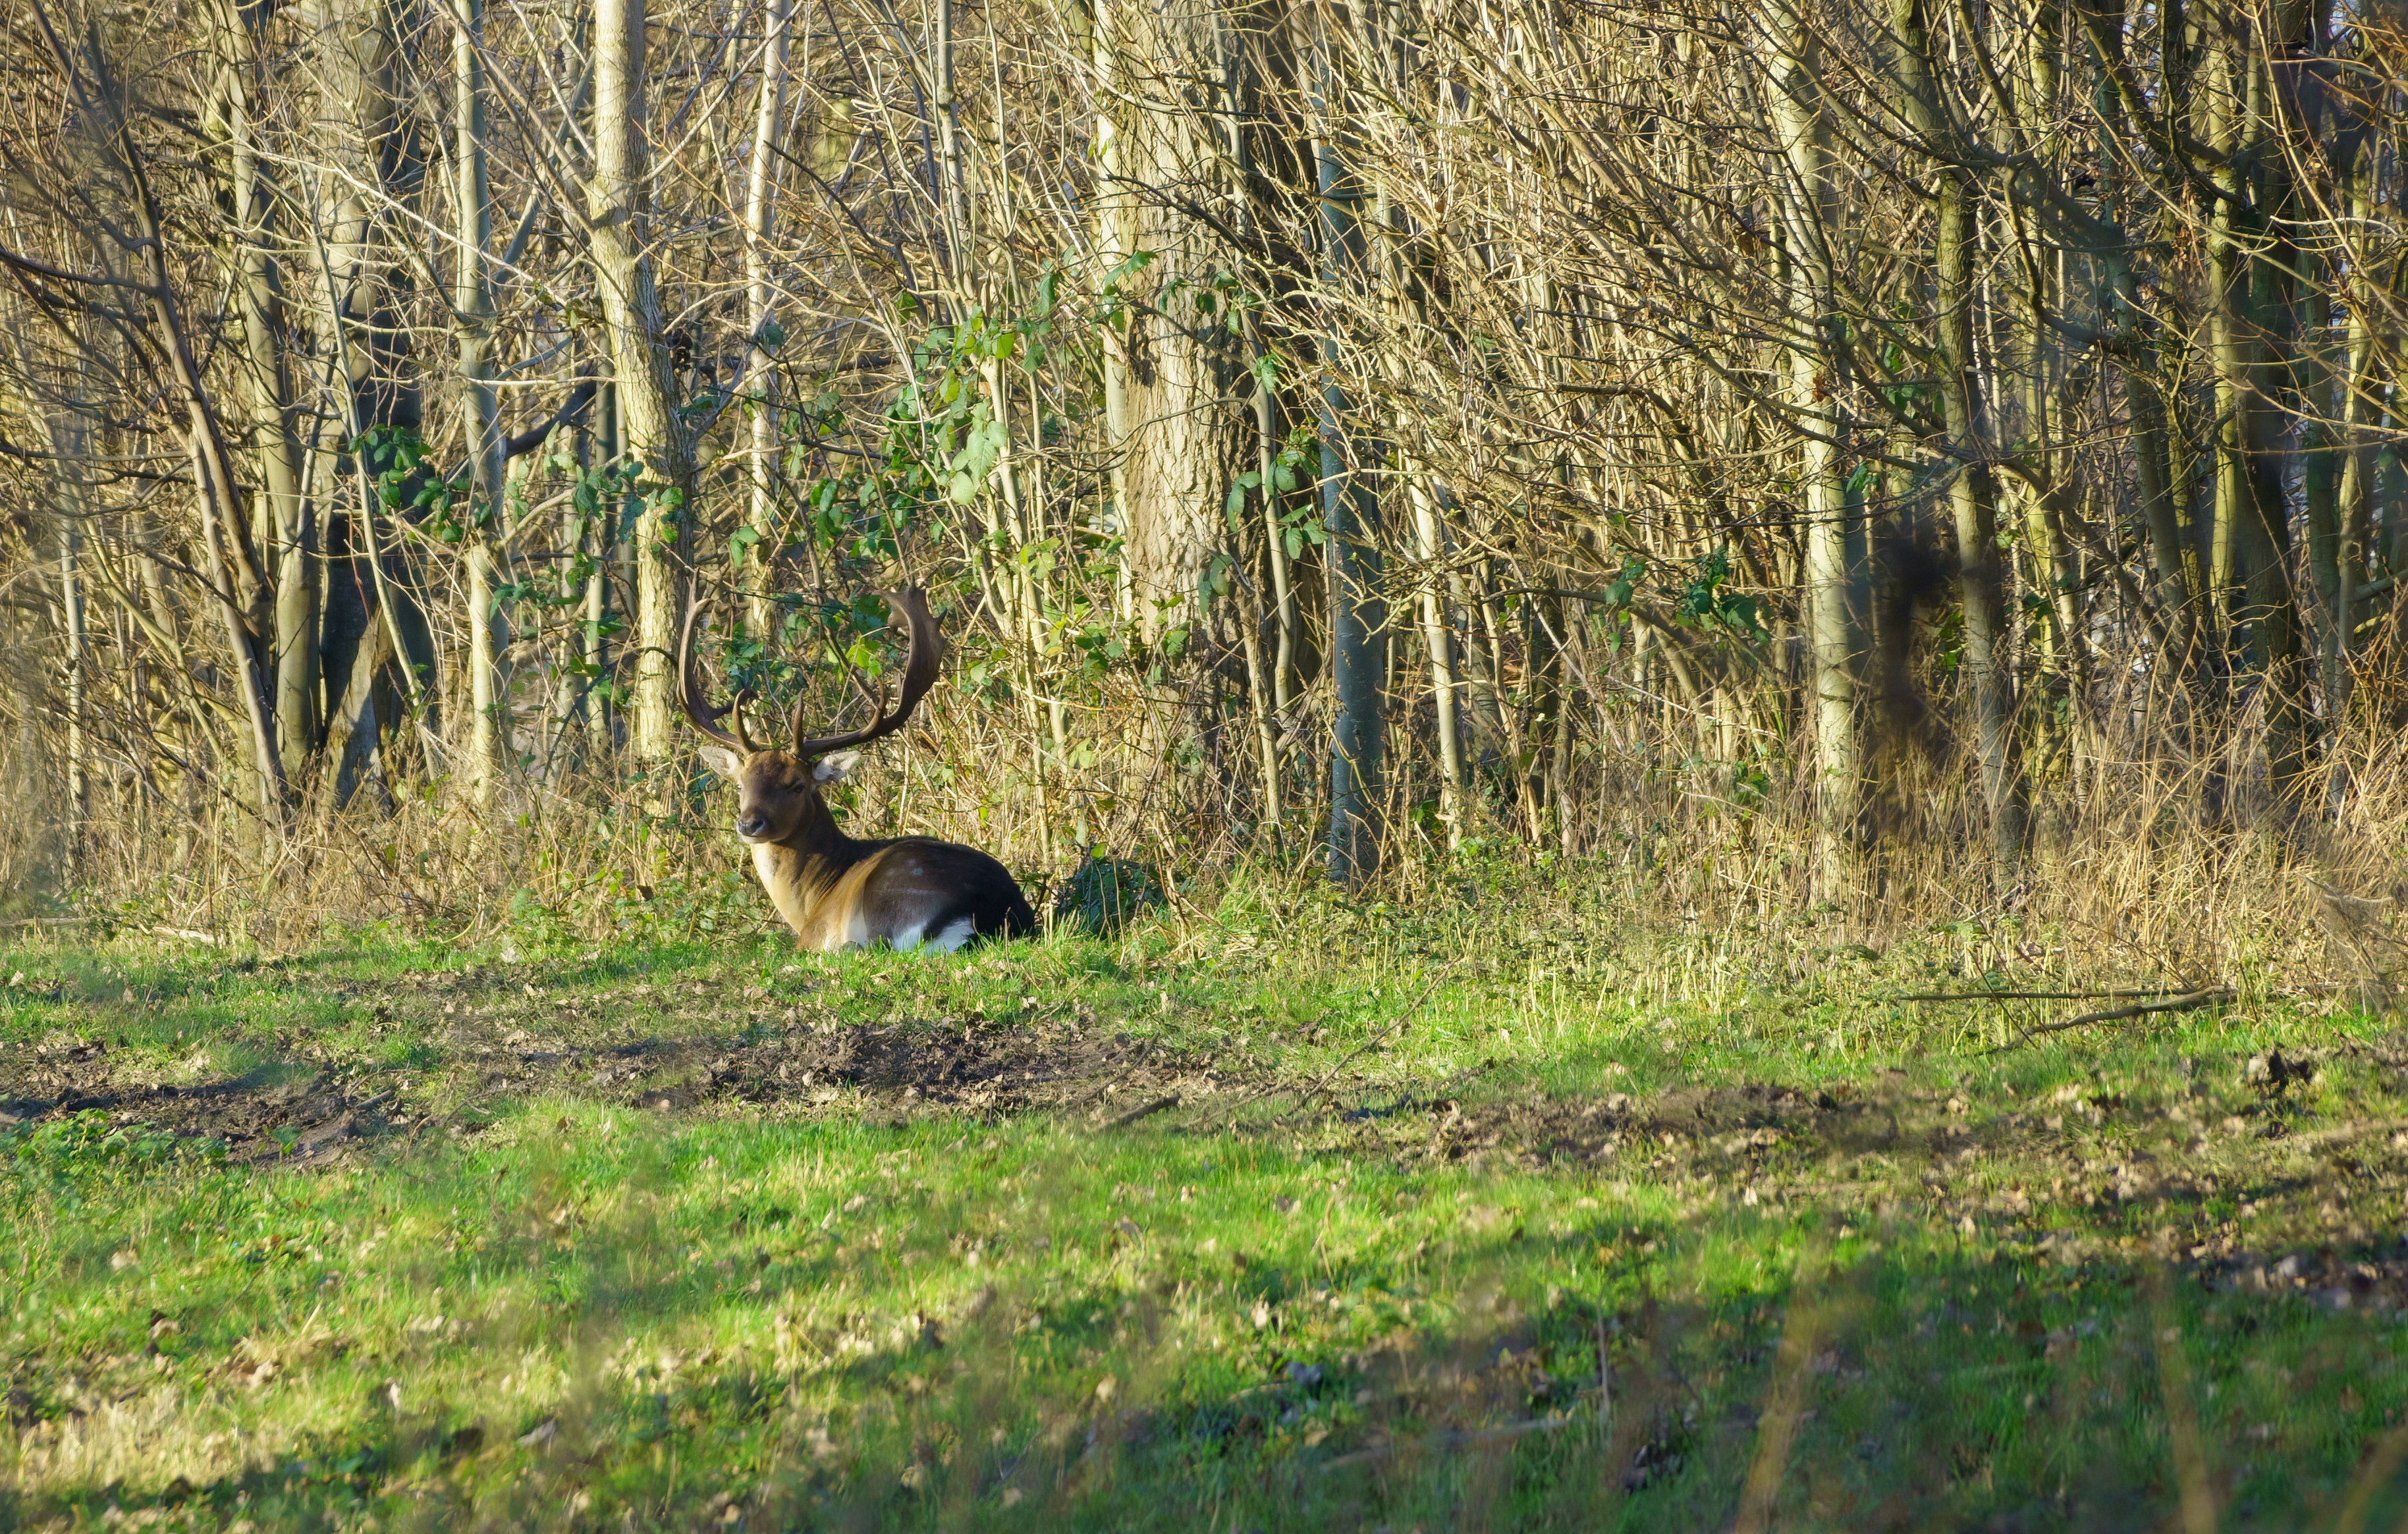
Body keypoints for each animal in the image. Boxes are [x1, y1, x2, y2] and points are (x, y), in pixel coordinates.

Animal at [678, 586, 1036, 952]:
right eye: (740, 784)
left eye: (797, 785)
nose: (750, 824)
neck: (811, 900)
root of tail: (993, 915)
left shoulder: (812, 936)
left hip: (891, 903)